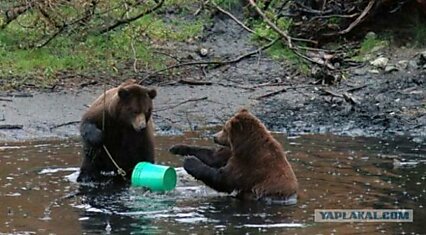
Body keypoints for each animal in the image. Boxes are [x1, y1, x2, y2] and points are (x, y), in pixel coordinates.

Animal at [171, 109, 300, 201]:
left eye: (224, 129)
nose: (214, 136)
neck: (245, 146)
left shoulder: (251, 164)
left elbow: (224, 179)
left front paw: (190, 161)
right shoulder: (233, 153)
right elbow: (213, 157)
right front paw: (177, 148)